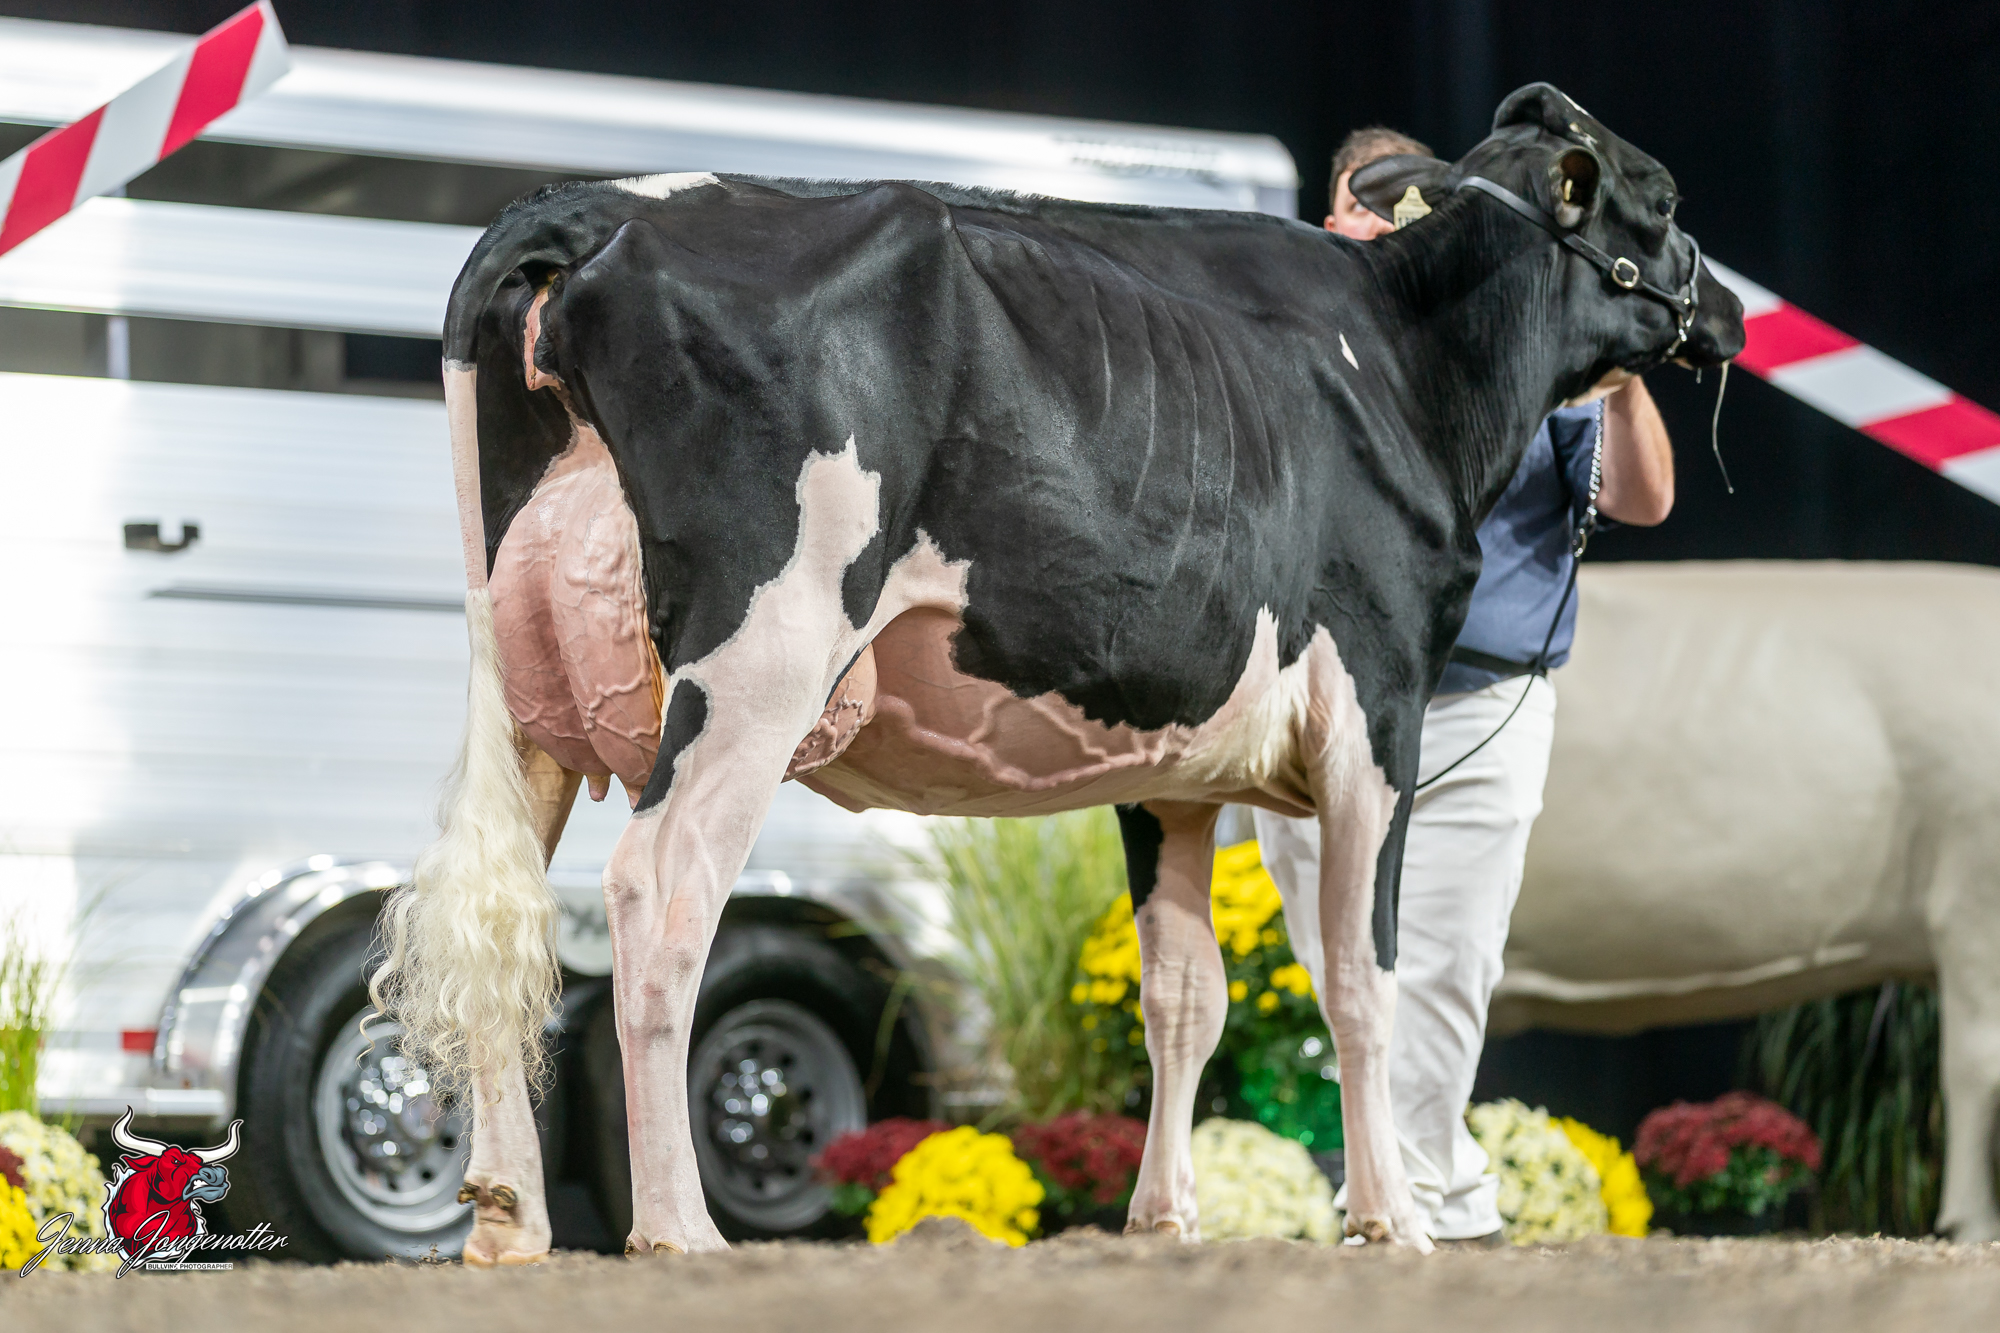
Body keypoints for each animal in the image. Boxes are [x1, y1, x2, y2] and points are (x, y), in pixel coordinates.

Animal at [368, 82, 1743, 1264]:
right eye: (1664, 196)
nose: (1726, 313)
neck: (1406, 363)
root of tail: (592, 207)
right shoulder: (1378, 707)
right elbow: (1362, 977)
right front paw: (1387, 1220)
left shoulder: (1173, 772)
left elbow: (1183, 994)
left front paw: (1165, 1217)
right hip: (761, 655)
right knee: (662, 892)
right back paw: (678, 1230)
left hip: (524, 678)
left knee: (505, 903)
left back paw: (509, 1219)